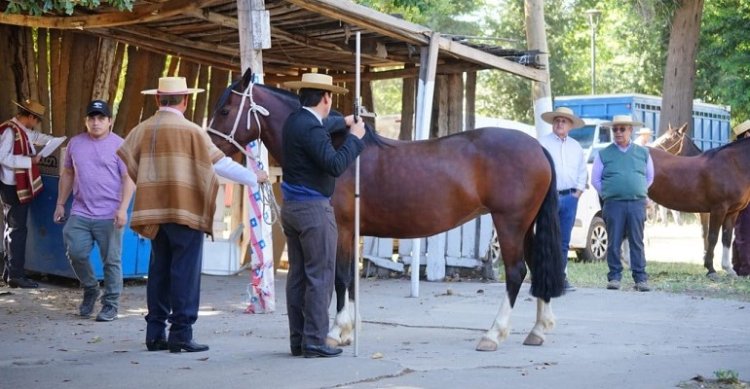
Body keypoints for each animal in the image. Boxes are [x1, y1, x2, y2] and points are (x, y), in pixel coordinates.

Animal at [206, 68, 564, 350]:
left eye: (225, 109)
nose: (209, 146)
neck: (334, 147)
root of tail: (538, 147)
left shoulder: (343, 229)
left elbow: (340, 277)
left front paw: (338, 330)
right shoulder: (350, 233)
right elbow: (349, 279)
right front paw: (349, 329)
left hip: (510, 223)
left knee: (517, 272)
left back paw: (493, 334)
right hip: (526, 225)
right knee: (538, 267)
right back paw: (538, 329)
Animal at [648, 125, 748, 276]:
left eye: (668, 139)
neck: (733, 165)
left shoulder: (732, 212)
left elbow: (727, 238)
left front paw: (729, 269)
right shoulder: (717, 209)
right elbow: (712, 237)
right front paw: (710, 268)